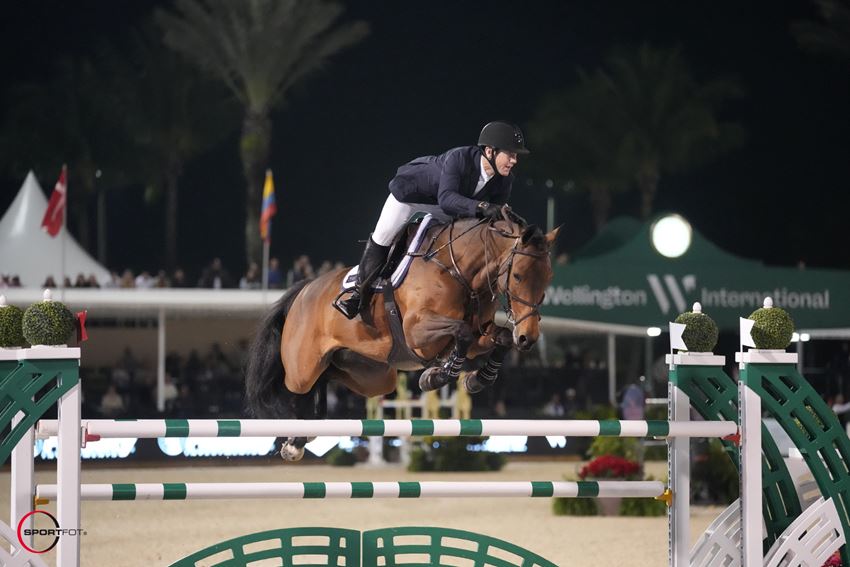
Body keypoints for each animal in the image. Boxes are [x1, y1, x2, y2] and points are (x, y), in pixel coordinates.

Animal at [245, 213, 560, 462]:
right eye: (517, 276)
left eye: (548, 277)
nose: (528, 338)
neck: (458, 270)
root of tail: (303, 290)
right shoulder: (417, 330)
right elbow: (461, 331)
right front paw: (436, 376)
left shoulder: (479, 335)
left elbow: (500, 337)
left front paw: (476, 379)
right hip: (303, 367)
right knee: (293, 388)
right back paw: (294, 439)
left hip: (372, 375)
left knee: (328, 375)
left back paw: (308, 430)